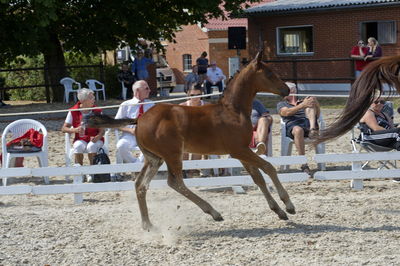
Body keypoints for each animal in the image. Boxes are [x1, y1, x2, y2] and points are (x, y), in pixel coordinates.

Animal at [88, 50, 294, 231]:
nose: (286, 89)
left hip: (154, 158)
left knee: (140, 185)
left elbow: (258, 178)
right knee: (175, 182)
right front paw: (288, 204)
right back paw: (213, 212)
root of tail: (140, 119)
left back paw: (148, 225)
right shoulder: (239, 150)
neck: (233, 111)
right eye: (269, 73)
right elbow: (268, 167)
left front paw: (279, 211)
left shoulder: (242, 152)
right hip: (173, 154)